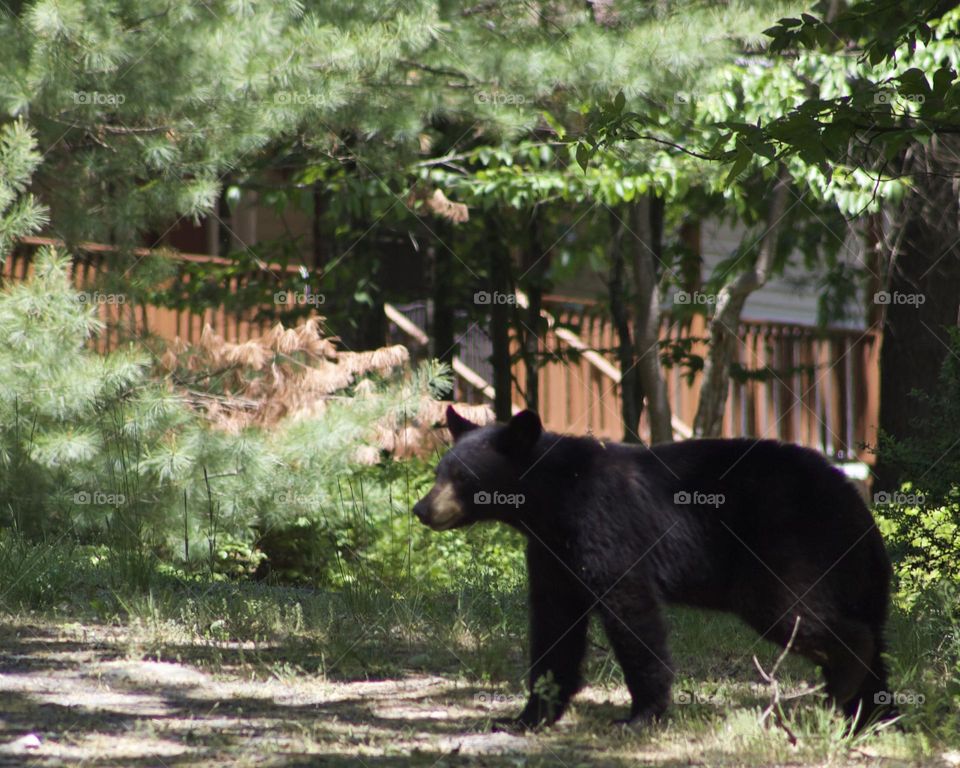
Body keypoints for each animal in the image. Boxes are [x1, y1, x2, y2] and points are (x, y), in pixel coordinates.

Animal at [412, 404, 892, 728]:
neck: (552, 500)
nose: (421, 509)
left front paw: (641, 714)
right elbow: (554, 624)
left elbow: (631, 611)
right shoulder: (551, 553)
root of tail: (859, 510)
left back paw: (840, 687)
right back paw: (869, 714)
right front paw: (528, 715)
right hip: (853, 574)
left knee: (796, 612)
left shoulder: (604, 525)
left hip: (790, 546)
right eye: (439, 472)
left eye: (462, 477)